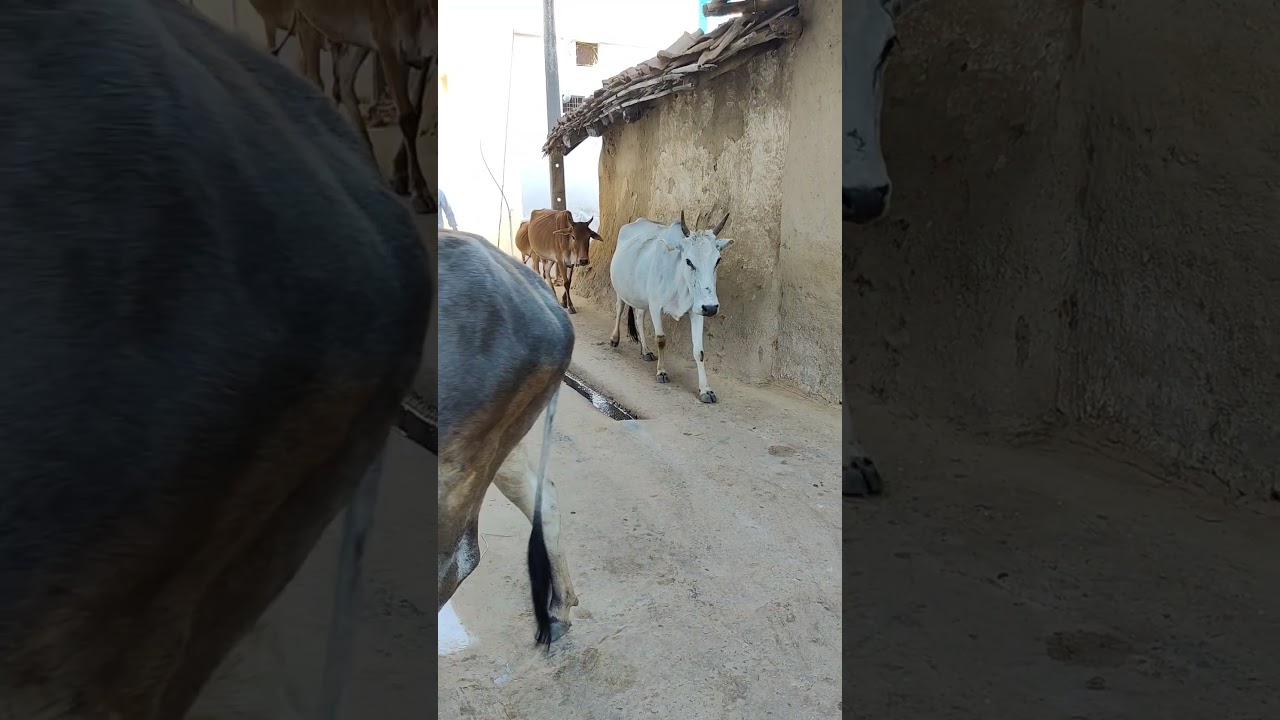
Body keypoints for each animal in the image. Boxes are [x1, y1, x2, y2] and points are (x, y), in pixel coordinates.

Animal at [294, 0, 437, 215]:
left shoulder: (425, 48)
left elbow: (415, 110)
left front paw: (399, 176)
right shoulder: (388, 41)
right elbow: (406, 117)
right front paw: (420, 193)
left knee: (343, 79)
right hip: (306, 19)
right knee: (314, 79)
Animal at [609, 211, 733, 404]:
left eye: (718, 260)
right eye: (689, 261)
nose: (711, 307)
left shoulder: (697, 312)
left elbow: (699, 351)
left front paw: (705, 389)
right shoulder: (655, 306)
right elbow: (661, 340)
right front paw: (661, 372)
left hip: (641, 297)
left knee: (639, 316)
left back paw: (645, 350)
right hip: (621, 290)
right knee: (619, 308)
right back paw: (615, 339)